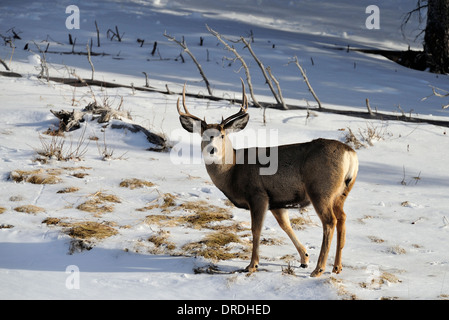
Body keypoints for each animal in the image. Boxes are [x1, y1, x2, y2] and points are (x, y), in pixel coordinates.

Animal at [175, 80, 356, 278]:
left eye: (222, 135)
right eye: (203, 135)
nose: (212, 150)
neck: (233, 170)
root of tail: (351, 154)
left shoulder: (258, 194)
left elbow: (256, 229)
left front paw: (252, 265)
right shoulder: (276, 202)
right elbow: (286, 226)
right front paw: (304, 258)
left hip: (320, 189)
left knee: (330, 221)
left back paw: (319, 269)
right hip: (341, 193)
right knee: (343, 218)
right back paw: (336, 267)